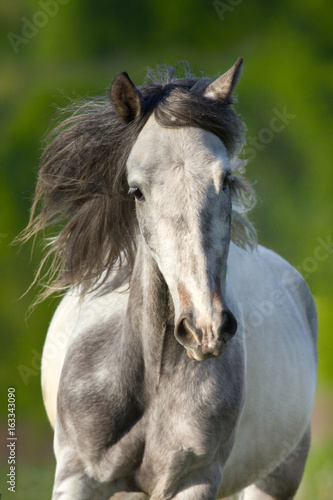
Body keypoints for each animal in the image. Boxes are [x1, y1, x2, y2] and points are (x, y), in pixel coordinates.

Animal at [24, 56, 316, 498]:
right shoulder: (76, 476)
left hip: (275, 480)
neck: (147, 382)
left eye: (226, 180)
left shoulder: (193, 480)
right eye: (136, 191)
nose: (205, 329)